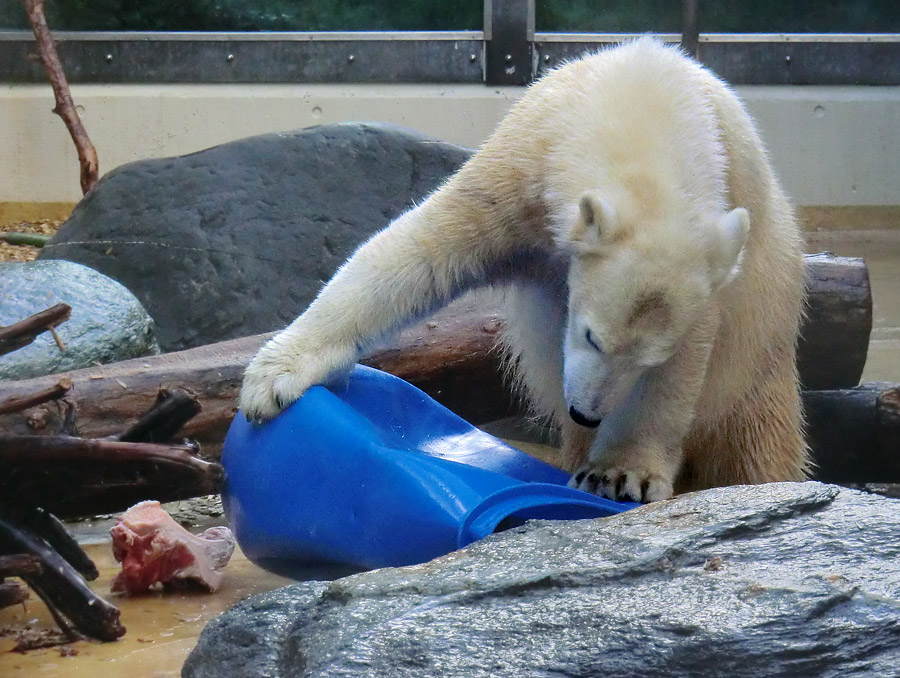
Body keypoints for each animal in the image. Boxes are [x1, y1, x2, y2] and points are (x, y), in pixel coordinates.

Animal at [237, 38, 808, 504]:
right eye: (590, 336)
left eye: (647, 359)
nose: (587, 413)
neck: (645, 99)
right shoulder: (527, 164)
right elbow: (423, 252)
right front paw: (274, 379)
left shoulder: (715, 253)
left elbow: (685, 359)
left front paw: (620, 473)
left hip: (757, 365)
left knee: (757, 449)